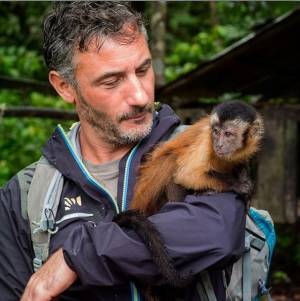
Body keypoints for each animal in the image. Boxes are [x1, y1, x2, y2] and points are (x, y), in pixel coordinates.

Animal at [113, 101, 264, 300]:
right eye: (216, 132)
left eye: (228, 134)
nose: (219, 144)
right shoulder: (206, 141)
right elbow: (188, 174)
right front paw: (237, 186)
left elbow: (240, 163)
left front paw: (246, 189)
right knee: (172, 160)